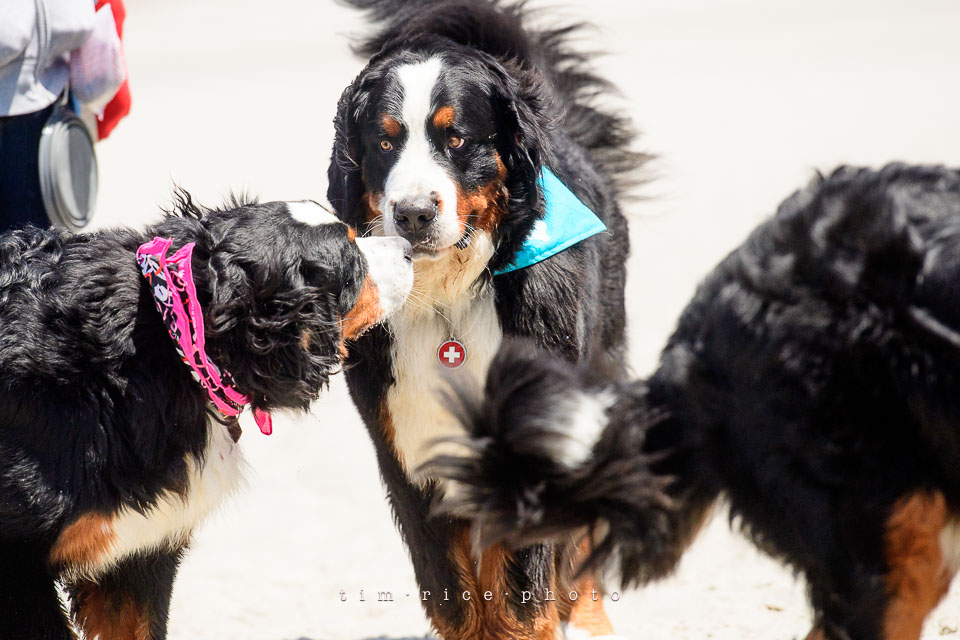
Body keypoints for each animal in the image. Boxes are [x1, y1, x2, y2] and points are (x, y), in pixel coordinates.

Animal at [326, 0, 645, 637]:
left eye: (455, 138)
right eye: (383, 142)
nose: (413, 213)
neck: (448, 299)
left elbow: (521, 589)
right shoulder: (409, 455)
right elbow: (454, 591)